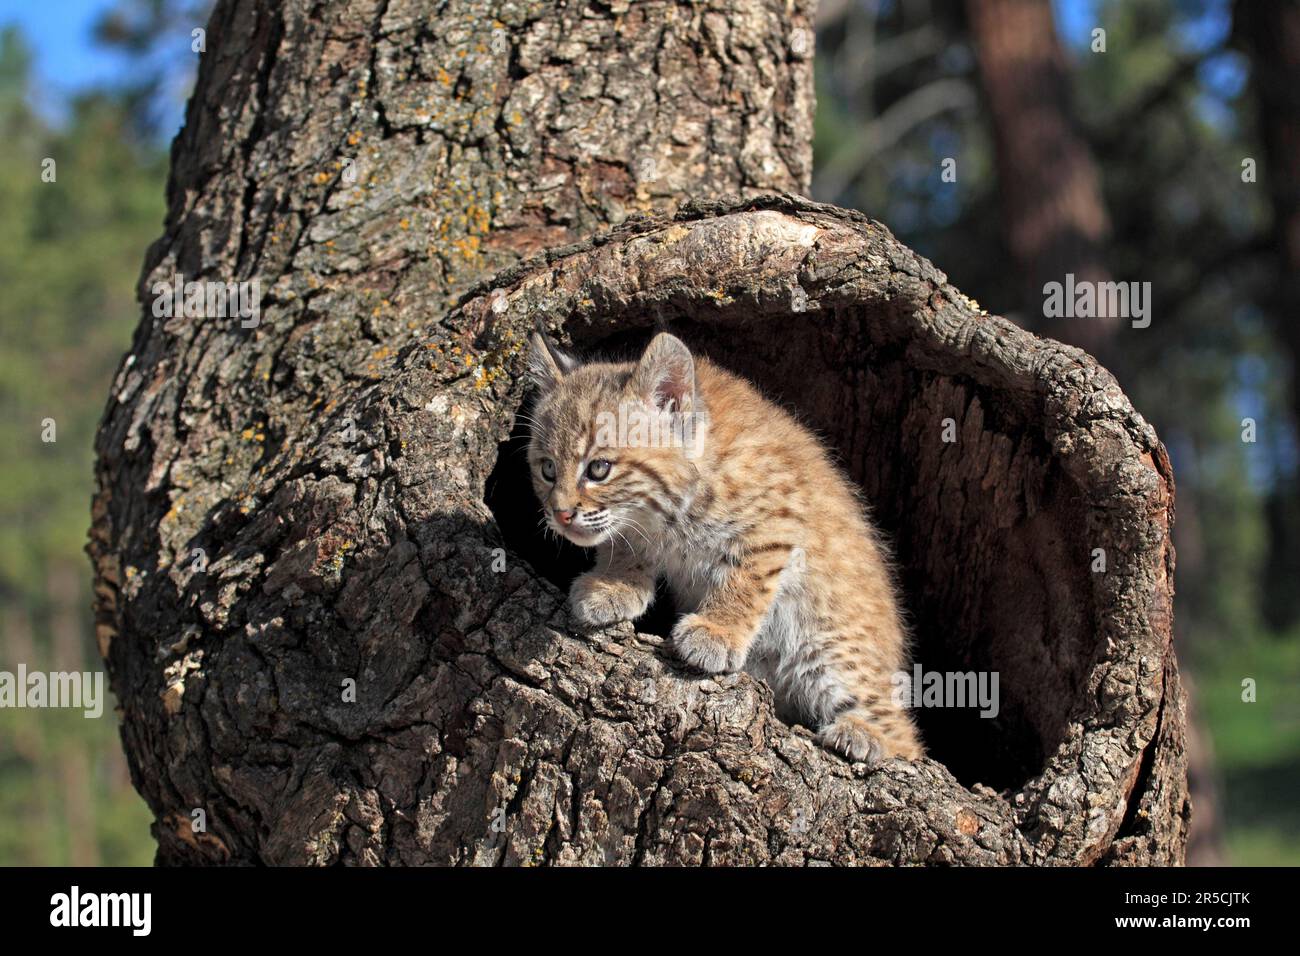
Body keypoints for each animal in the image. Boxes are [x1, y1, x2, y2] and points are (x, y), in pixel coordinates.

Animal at [522, 329, 920, 764]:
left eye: (598, 469)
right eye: (547, 469)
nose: (559, 514)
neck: (671, 513)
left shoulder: (776, 523)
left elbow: (746, 579)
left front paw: (717, 630)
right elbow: (626, 546)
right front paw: (612, 585)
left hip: (830, 644)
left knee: (903, 732)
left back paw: (865, 734)